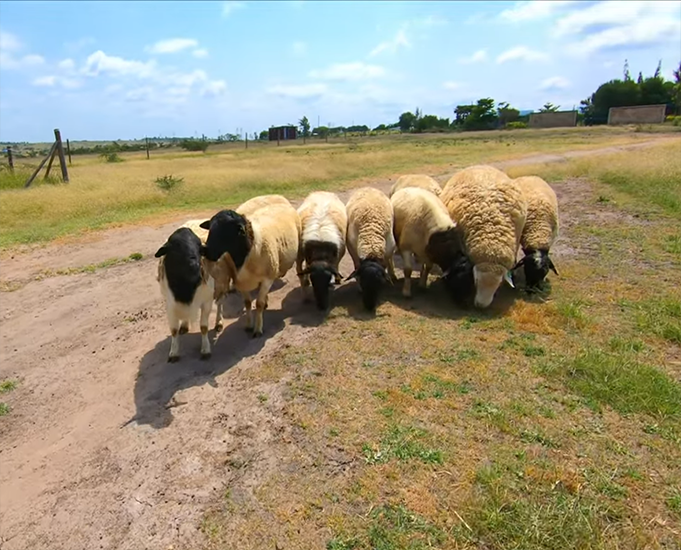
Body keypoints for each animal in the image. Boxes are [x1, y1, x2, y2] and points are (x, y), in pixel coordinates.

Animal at [155, 227, 214, 362]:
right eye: (176, 246)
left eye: (199, 247)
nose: (195, 265)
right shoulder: (170, 304)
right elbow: (173, 330)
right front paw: (173, 353)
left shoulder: (207, 300)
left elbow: (204, 327)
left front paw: (206, 350)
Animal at [199, 202, 301, 337]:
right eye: (211, 228)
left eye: (227, 231)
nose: (205, 250)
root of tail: (283, 203)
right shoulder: (241, 282)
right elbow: (247, 303)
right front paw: (249, 325)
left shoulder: (267, 279)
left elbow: (258, 304)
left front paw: (258, 329)